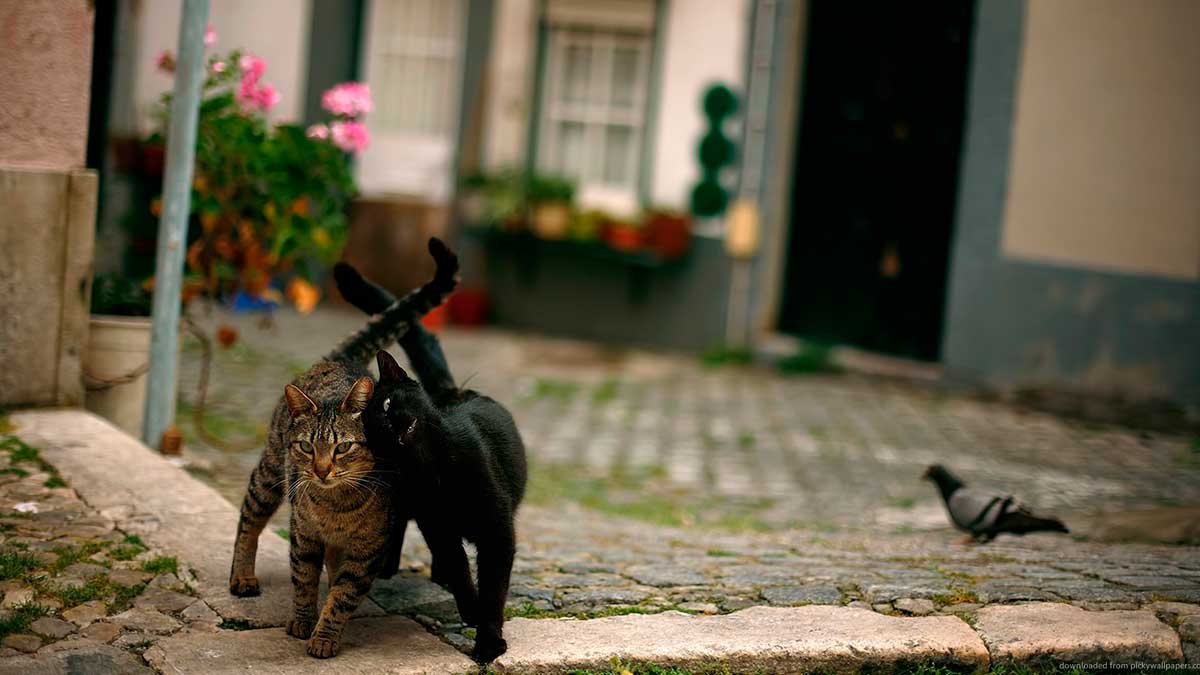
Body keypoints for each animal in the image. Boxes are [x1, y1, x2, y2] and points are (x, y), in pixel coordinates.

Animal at [229, 237, 458, 658]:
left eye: (343, 448)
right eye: (307, 447)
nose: (321, 470)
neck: (336, 507)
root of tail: (341, 361)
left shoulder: (367, 550)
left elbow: (343, 594)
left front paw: (325, 634)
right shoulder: (303, 535)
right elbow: (303, 579)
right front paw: (303, 621)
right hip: (269, 474)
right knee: (248, 520)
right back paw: (242, 576)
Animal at [336, 260, 528, 658]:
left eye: (388, 404)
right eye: (371, 426)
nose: (391, 424)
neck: (433, 469)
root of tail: (451, 390)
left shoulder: (497, 531)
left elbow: (493, 589)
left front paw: (488, 642)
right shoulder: (436, 526)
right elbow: (459, 570)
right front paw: (470, 610)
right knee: (398, 527)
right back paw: (389, 567)